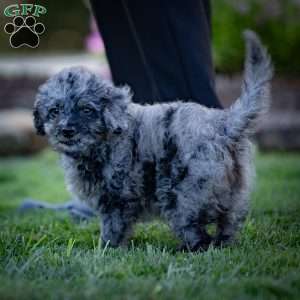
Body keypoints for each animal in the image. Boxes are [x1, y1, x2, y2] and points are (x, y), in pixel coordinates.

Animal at [33, 31, 274, 251]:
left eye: (86, 110)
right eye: (54, 111)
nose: (66, 130)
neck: (105, 140)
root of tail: (223, 125)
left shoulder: (117, 197)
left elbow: (113, 225)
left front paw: (106, 249)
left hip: (183, 194)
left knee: (196, 232)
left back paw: (187, 249)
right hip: (234, 191)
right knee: (228, 223)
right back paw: (222, 243)